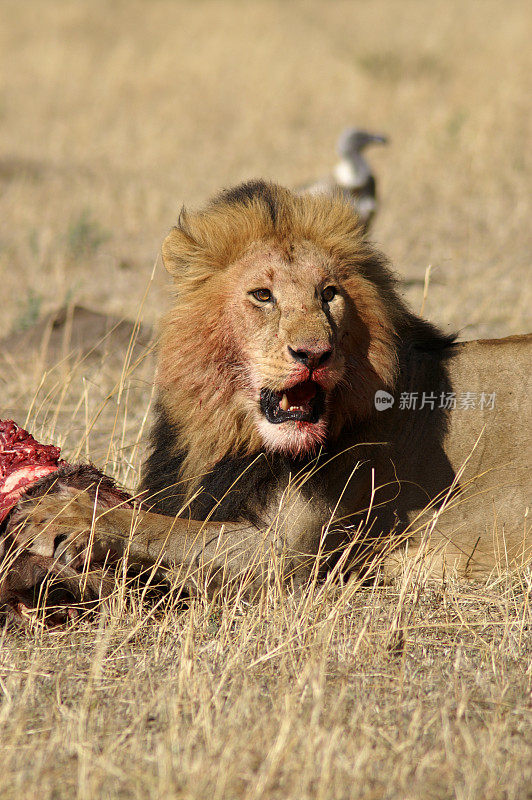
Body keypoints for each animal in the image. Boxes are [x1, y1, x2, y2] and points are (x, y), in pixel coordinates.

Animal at [2, 181, 528, 608]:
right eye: (262, 295)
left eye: (329, 294)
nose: (315, 353)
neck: (232, 434)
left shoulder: (287, 559)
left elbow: (161, 528)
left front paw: (63, 514)